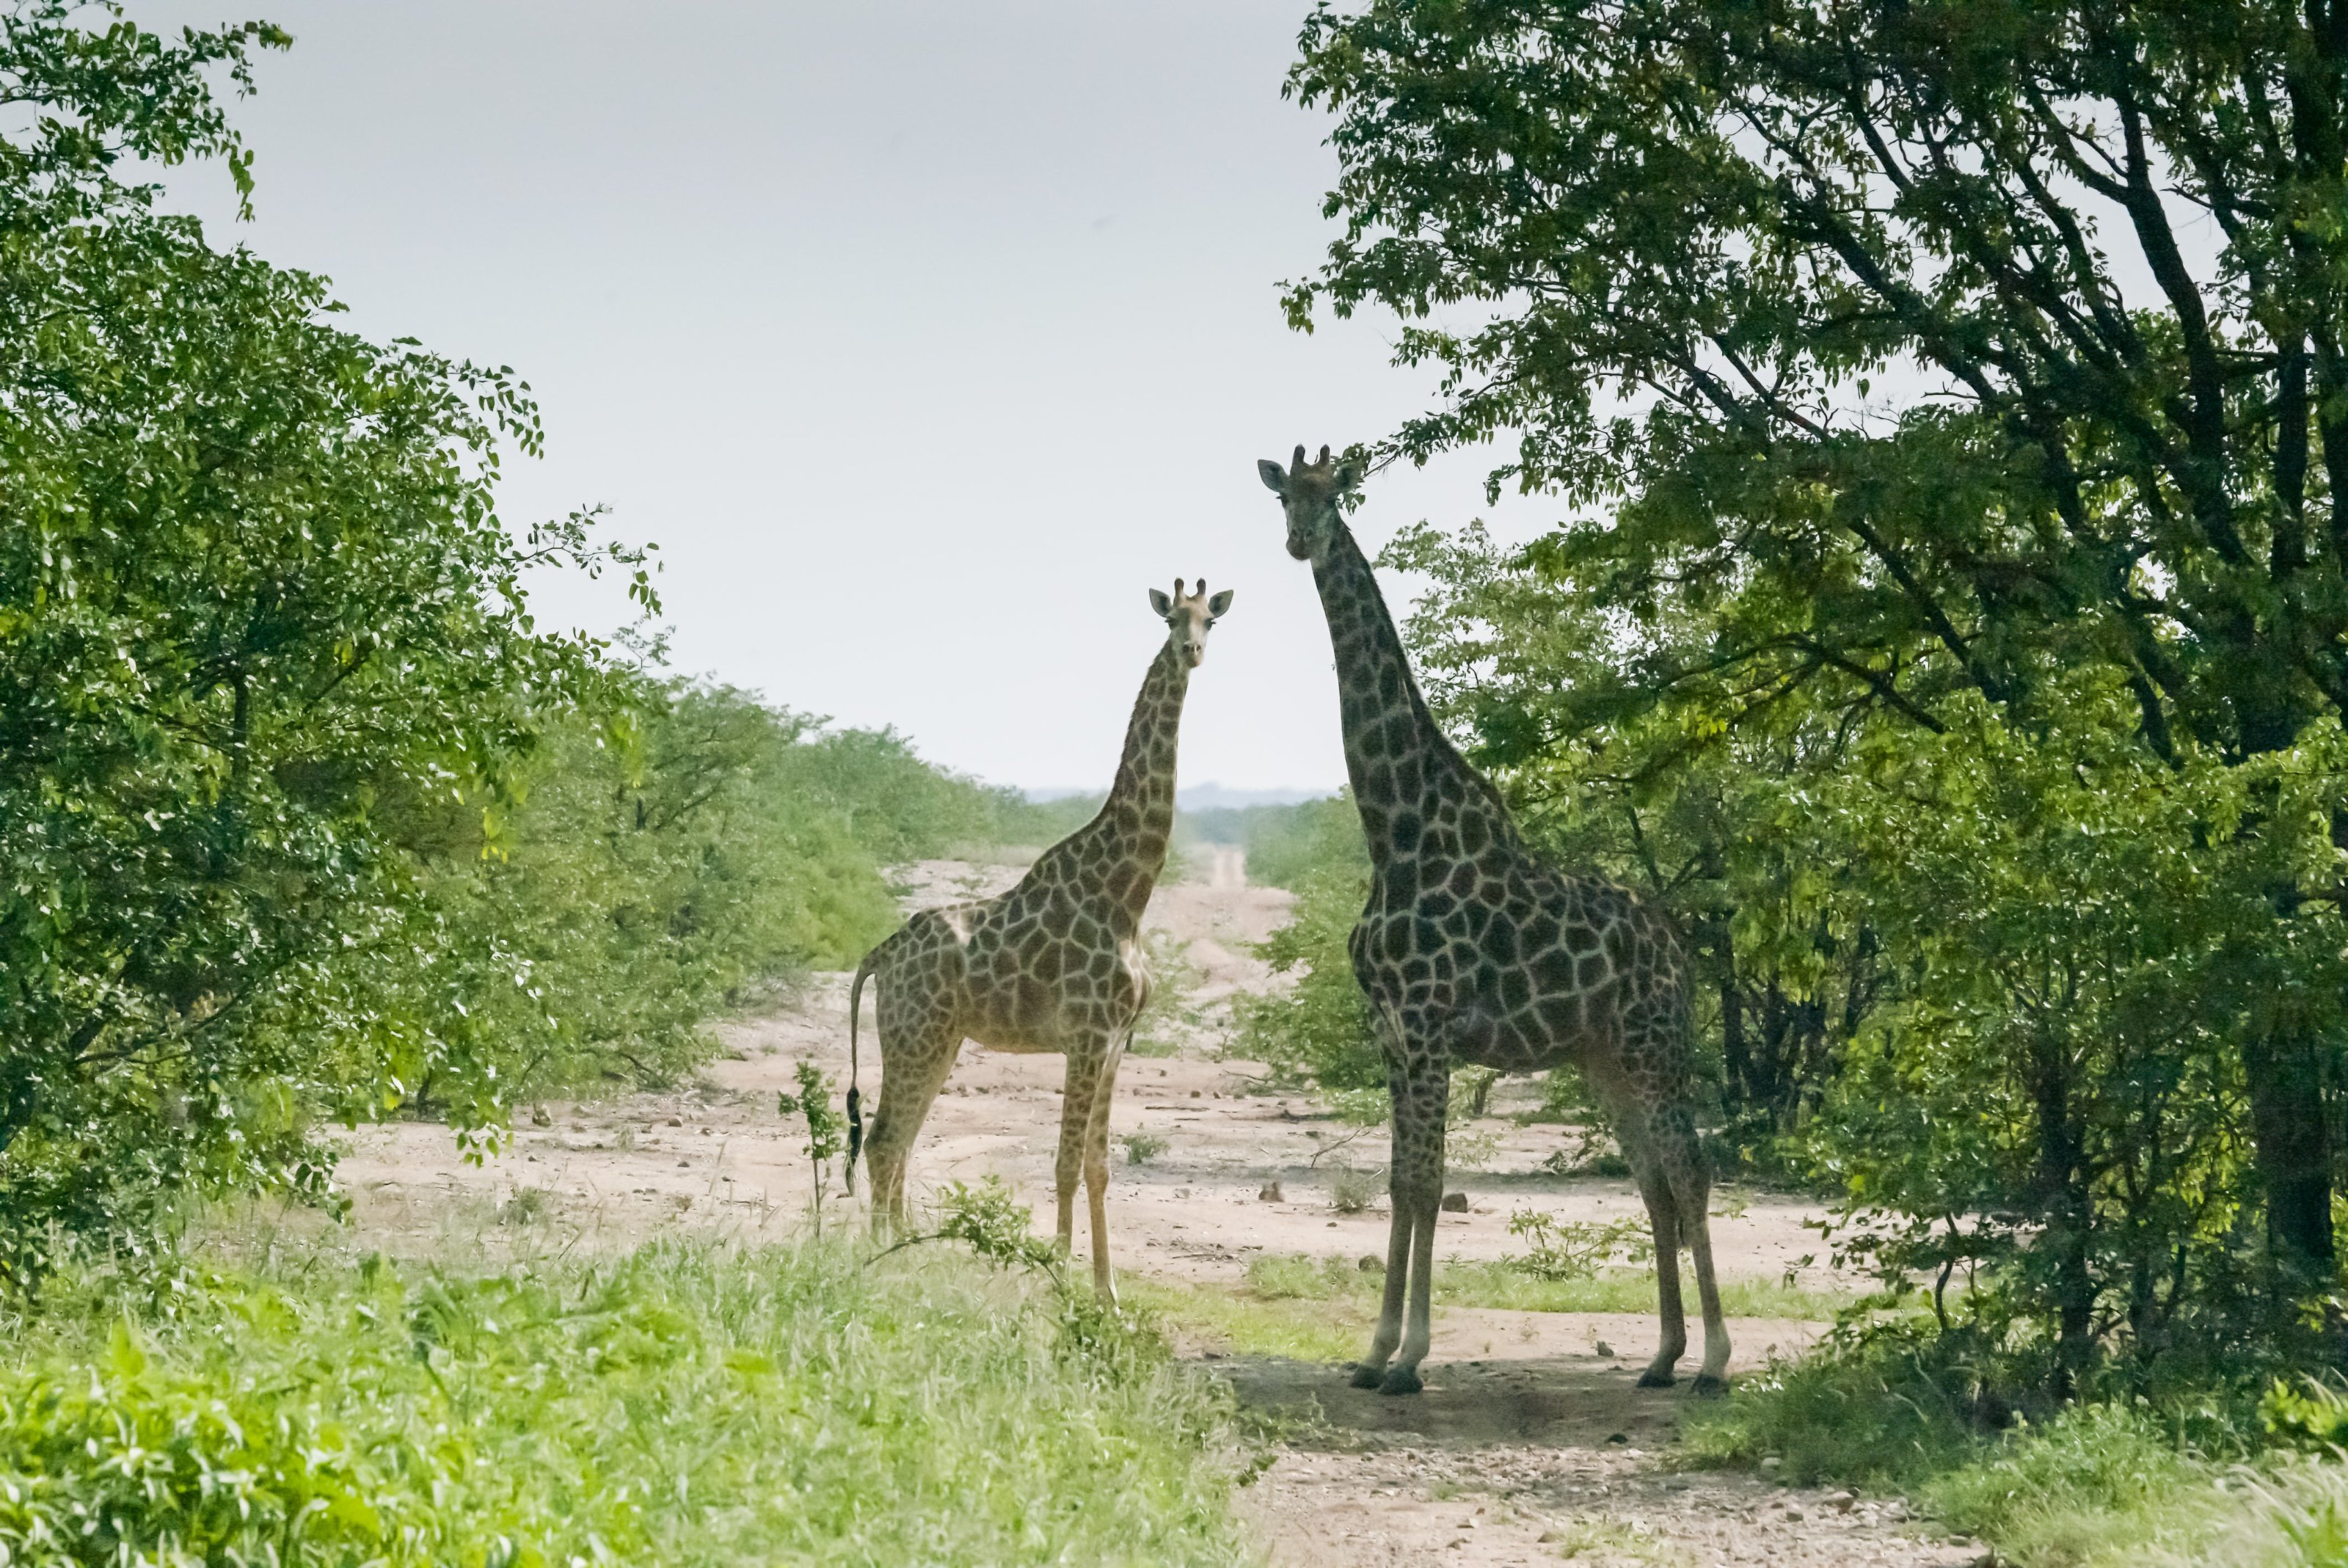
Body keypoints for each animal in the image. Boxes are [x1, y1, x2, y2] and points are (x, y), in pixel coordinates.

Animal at [850, 575, 1249, 1295]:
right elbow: (1064, 1164)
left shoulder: (1116, 1042)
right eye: (1172, 617)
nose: (1192, 650)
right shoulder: (1086, 1035)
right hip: (915, 1033)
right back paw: (885, 1256)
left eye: (1212, 620)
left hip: (937, 1038)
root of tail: (880, 953)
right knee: (887, 1136)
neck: (1128, 891)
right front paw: (1062, 1280)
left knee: (897, 1136)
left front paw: (1108, 1293)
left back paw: (900, 1250)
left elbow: (1098, 1167)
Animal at [1258, 443, 1738, 1399]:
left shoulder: (1425, 1025)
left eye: (1334, 497)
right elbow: (1399, 1182)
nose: (1299, 542)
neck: (1394, 831)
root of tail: (1678, 951)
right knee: (1653, 1183)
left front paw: (1409, 1357)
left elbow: (1425, 1180)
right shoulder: (1390, 1031)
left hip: (1654, 1045)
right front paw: (1373, 1353)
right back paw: (1661, 1356)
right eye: (1284, 497)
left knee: (1689, 1172)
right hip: (1604, 1060)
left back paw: (1711, 1361)